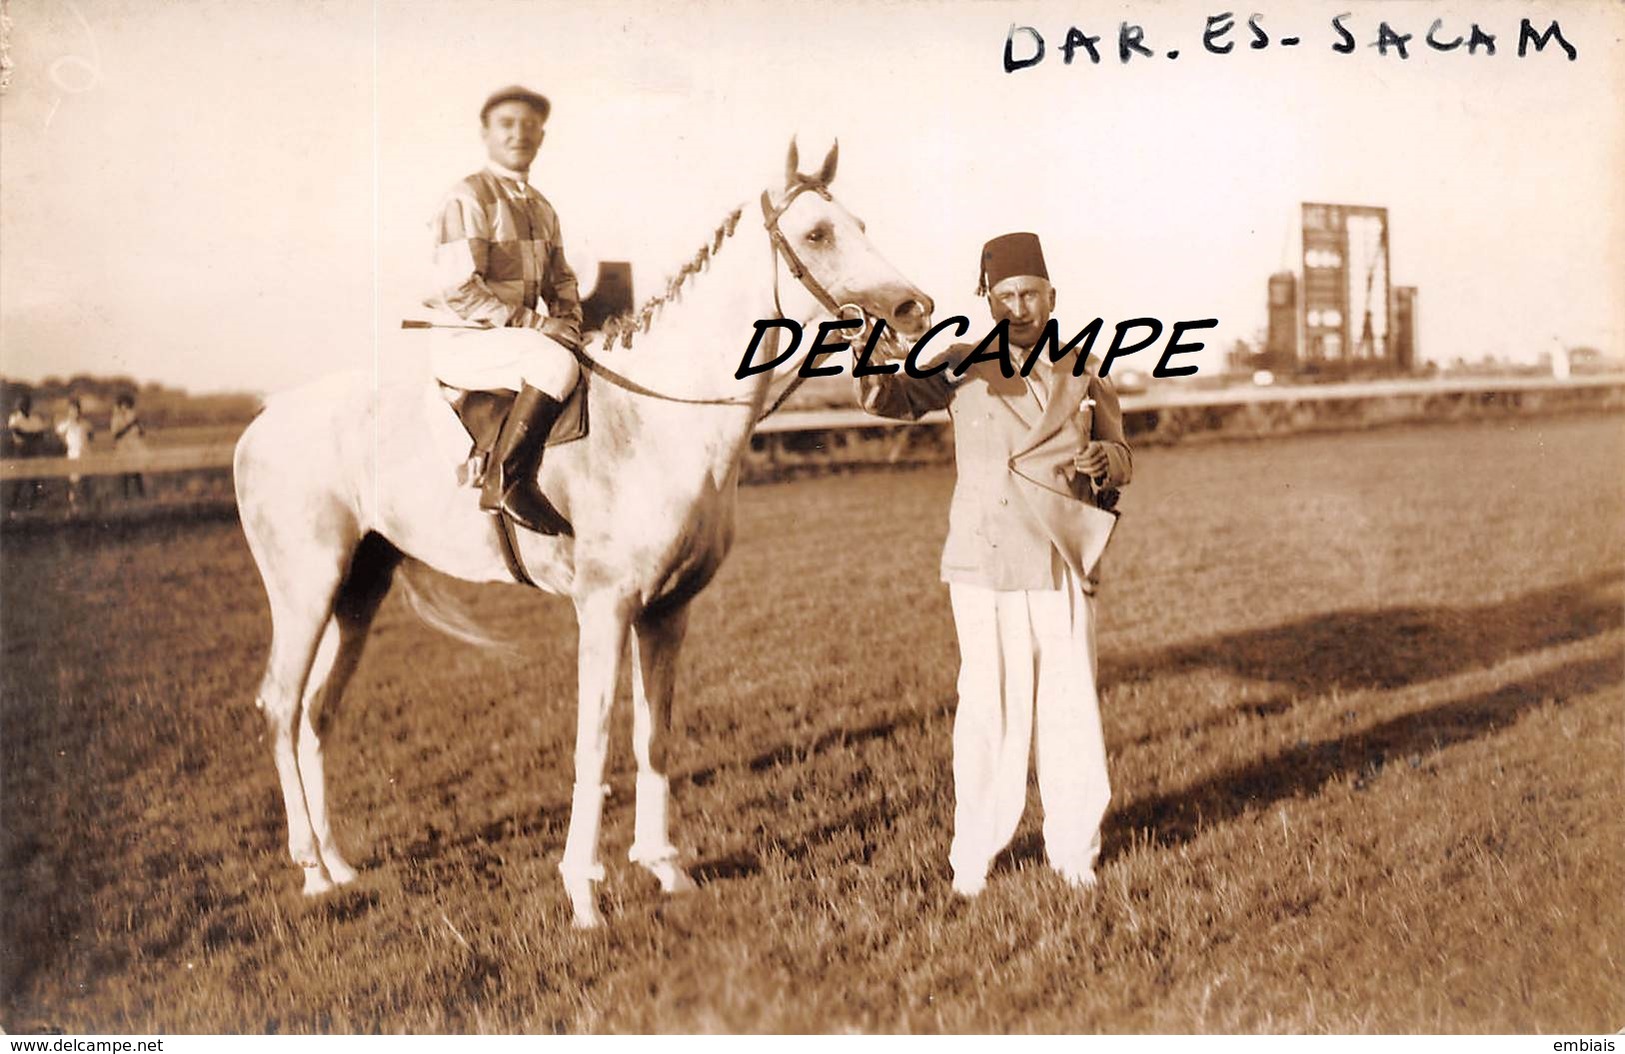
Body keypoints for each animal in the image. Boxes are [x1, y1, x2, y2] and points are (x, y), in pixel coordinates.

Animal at [234, 142, 936, 928]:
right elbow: (593, 744)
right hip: (304, 590)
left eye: (859, 223)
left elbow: (653, 737)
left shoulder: (667, 612)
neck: (661, 417)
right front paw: (583, 894)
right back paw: (311, 872)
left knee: (317, 713)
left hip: (357, 592)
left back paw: (338, 862)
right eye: (816, 233)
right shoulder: (604, 607)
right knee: (280, 706)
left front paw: (666, 870)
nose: (915, 307)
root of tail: (262, 420)